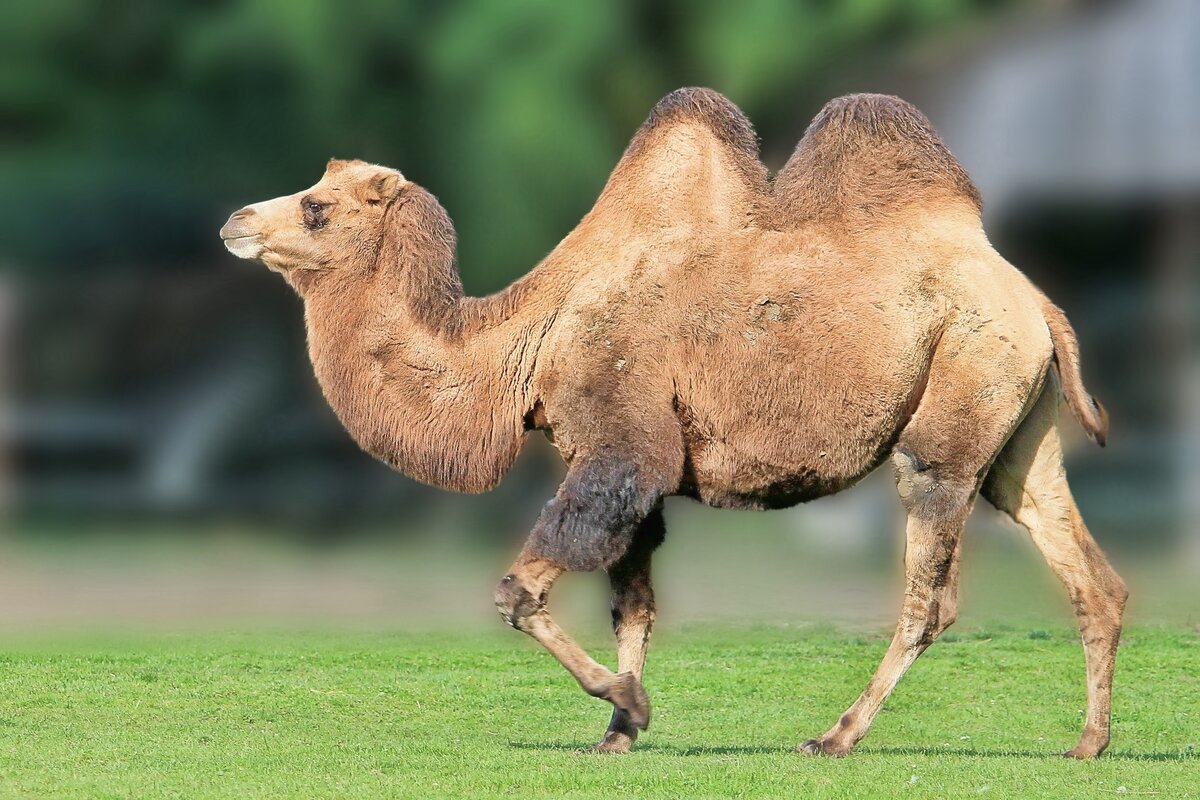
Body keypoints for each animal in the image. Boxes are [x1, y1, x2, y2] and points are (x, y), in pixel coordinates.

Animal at [219, 88, 1126, 758]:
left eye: (317, 207)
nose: (234, 221)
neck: (529, 338)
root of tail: (1036, 299)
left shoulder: (623, 447)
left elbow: (520, 591)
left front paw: (628, 701)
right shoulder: (629, 467)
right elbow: (634, 605)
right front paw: (618, 732)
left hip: (957, 398)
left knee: (930, 585)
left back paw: (835, 736)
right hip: (1017, 425)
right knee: (1084, 567)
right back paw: (1088, 744)